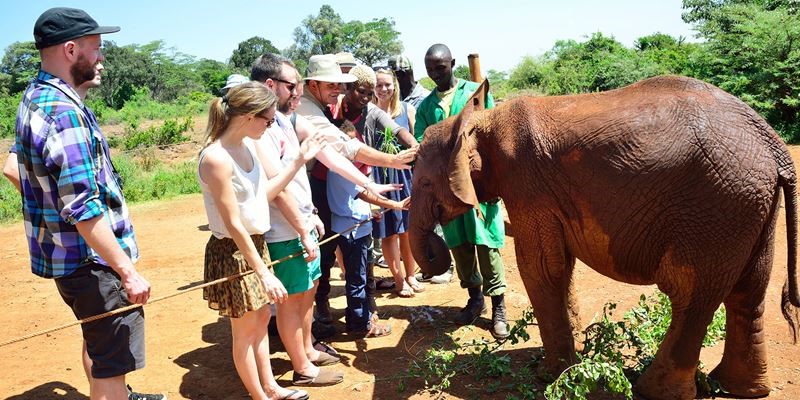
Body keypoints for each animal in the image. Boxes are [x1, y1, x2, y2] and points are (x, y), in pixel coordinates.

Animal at [410, 76, 800, 400]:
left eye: (425, 183)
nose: (432, 256)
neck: (482, 120)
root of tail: (775, 146)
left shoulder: (528, 185)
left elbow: (540, 268)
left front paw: (549, 376)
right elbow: (559, 267)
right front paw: (571, 360)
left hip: (717, 206)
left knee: (690, 294)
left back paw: (652, 391)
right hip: (750, 205)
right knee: (747, 292)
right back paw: (737, 388)